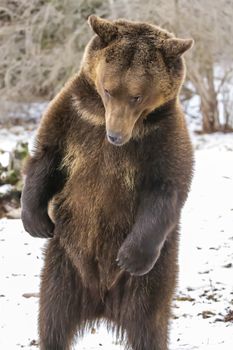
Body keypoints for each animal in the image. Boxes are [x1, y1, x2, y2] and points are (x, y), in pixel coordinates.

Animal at [21, 14, 193, 350]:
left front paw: (130, 256)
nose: (115, 136)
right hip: (63, 265)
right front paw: (36, 222)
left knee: (149, 325)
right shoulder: (73, 115)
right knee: (52, 319)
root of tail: (101, 302)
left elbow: (166, 188)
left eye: (137, 95)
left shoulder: (162, 136)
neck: (100, 116)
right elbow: (47, 157)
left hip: (150, 280)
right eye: (108, 89)